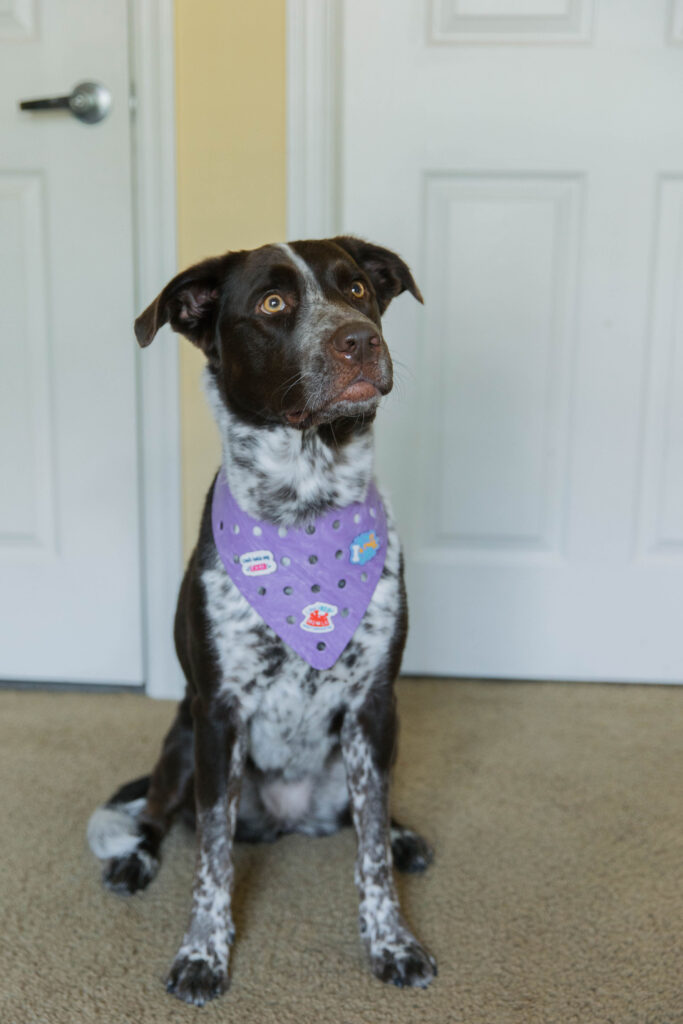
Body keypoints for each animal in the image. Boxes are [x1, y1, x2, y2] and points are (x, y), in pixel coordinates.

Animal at [87, 235, 438, 1003]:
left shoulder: (374, 705)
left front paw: (392, 941)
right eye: (273, 303)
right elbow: (213, 858)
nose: (358, 340)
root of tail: (289, 819)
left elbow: (370, 850)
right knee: (159, 813)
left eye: (357, 288)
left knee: (365, 817)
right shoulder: (219, 715)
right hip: (183, 740)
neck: (305, 509)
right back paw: (135, 859)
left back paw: (403, 835)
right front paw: (202, 953)